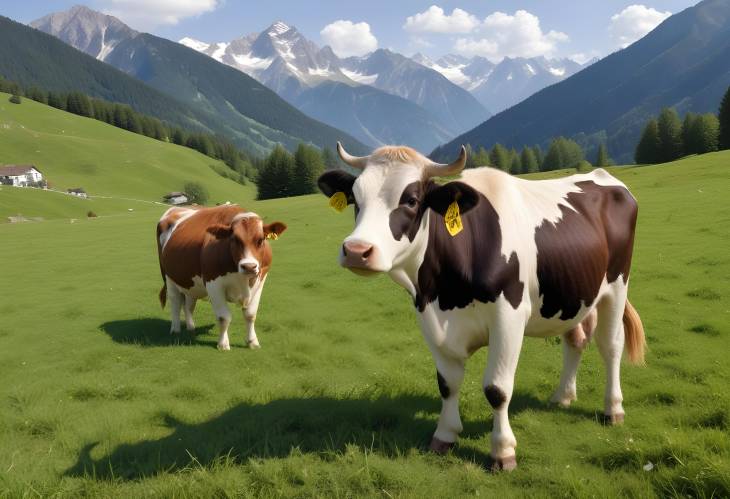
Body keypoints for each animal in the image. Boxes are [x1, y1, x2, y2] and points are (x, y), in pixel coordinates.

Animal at [156, 205, 284, 350]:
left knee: (189, 304)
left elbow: (250, 315)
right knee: (175, 302)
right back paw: (175, 329)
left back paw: (191, 327)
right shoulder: (213, 284)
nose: (249, 266)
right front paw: (223, 344)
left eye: (261, 239)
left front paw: (252, 342)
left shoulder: (260, 280)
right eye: (234, 239)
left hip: (189, 282)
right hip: (169, 277)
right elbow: (224, 317)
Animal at [318, 143, 644, 470]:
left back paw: (613, 409)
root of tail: (602, 176)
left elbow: (497, 389)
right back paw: (562, 396)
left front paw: (502, 451)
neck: (444, 294)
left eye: (410, 200)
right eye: (355, 197)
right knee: (576, 340)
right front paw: (445, 435)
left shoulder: (509, 318)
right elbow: (447, 383)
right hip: (573, 293)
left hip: (617, 287)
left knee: (611, 346)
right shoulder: (429, 319)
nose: (357, 251)